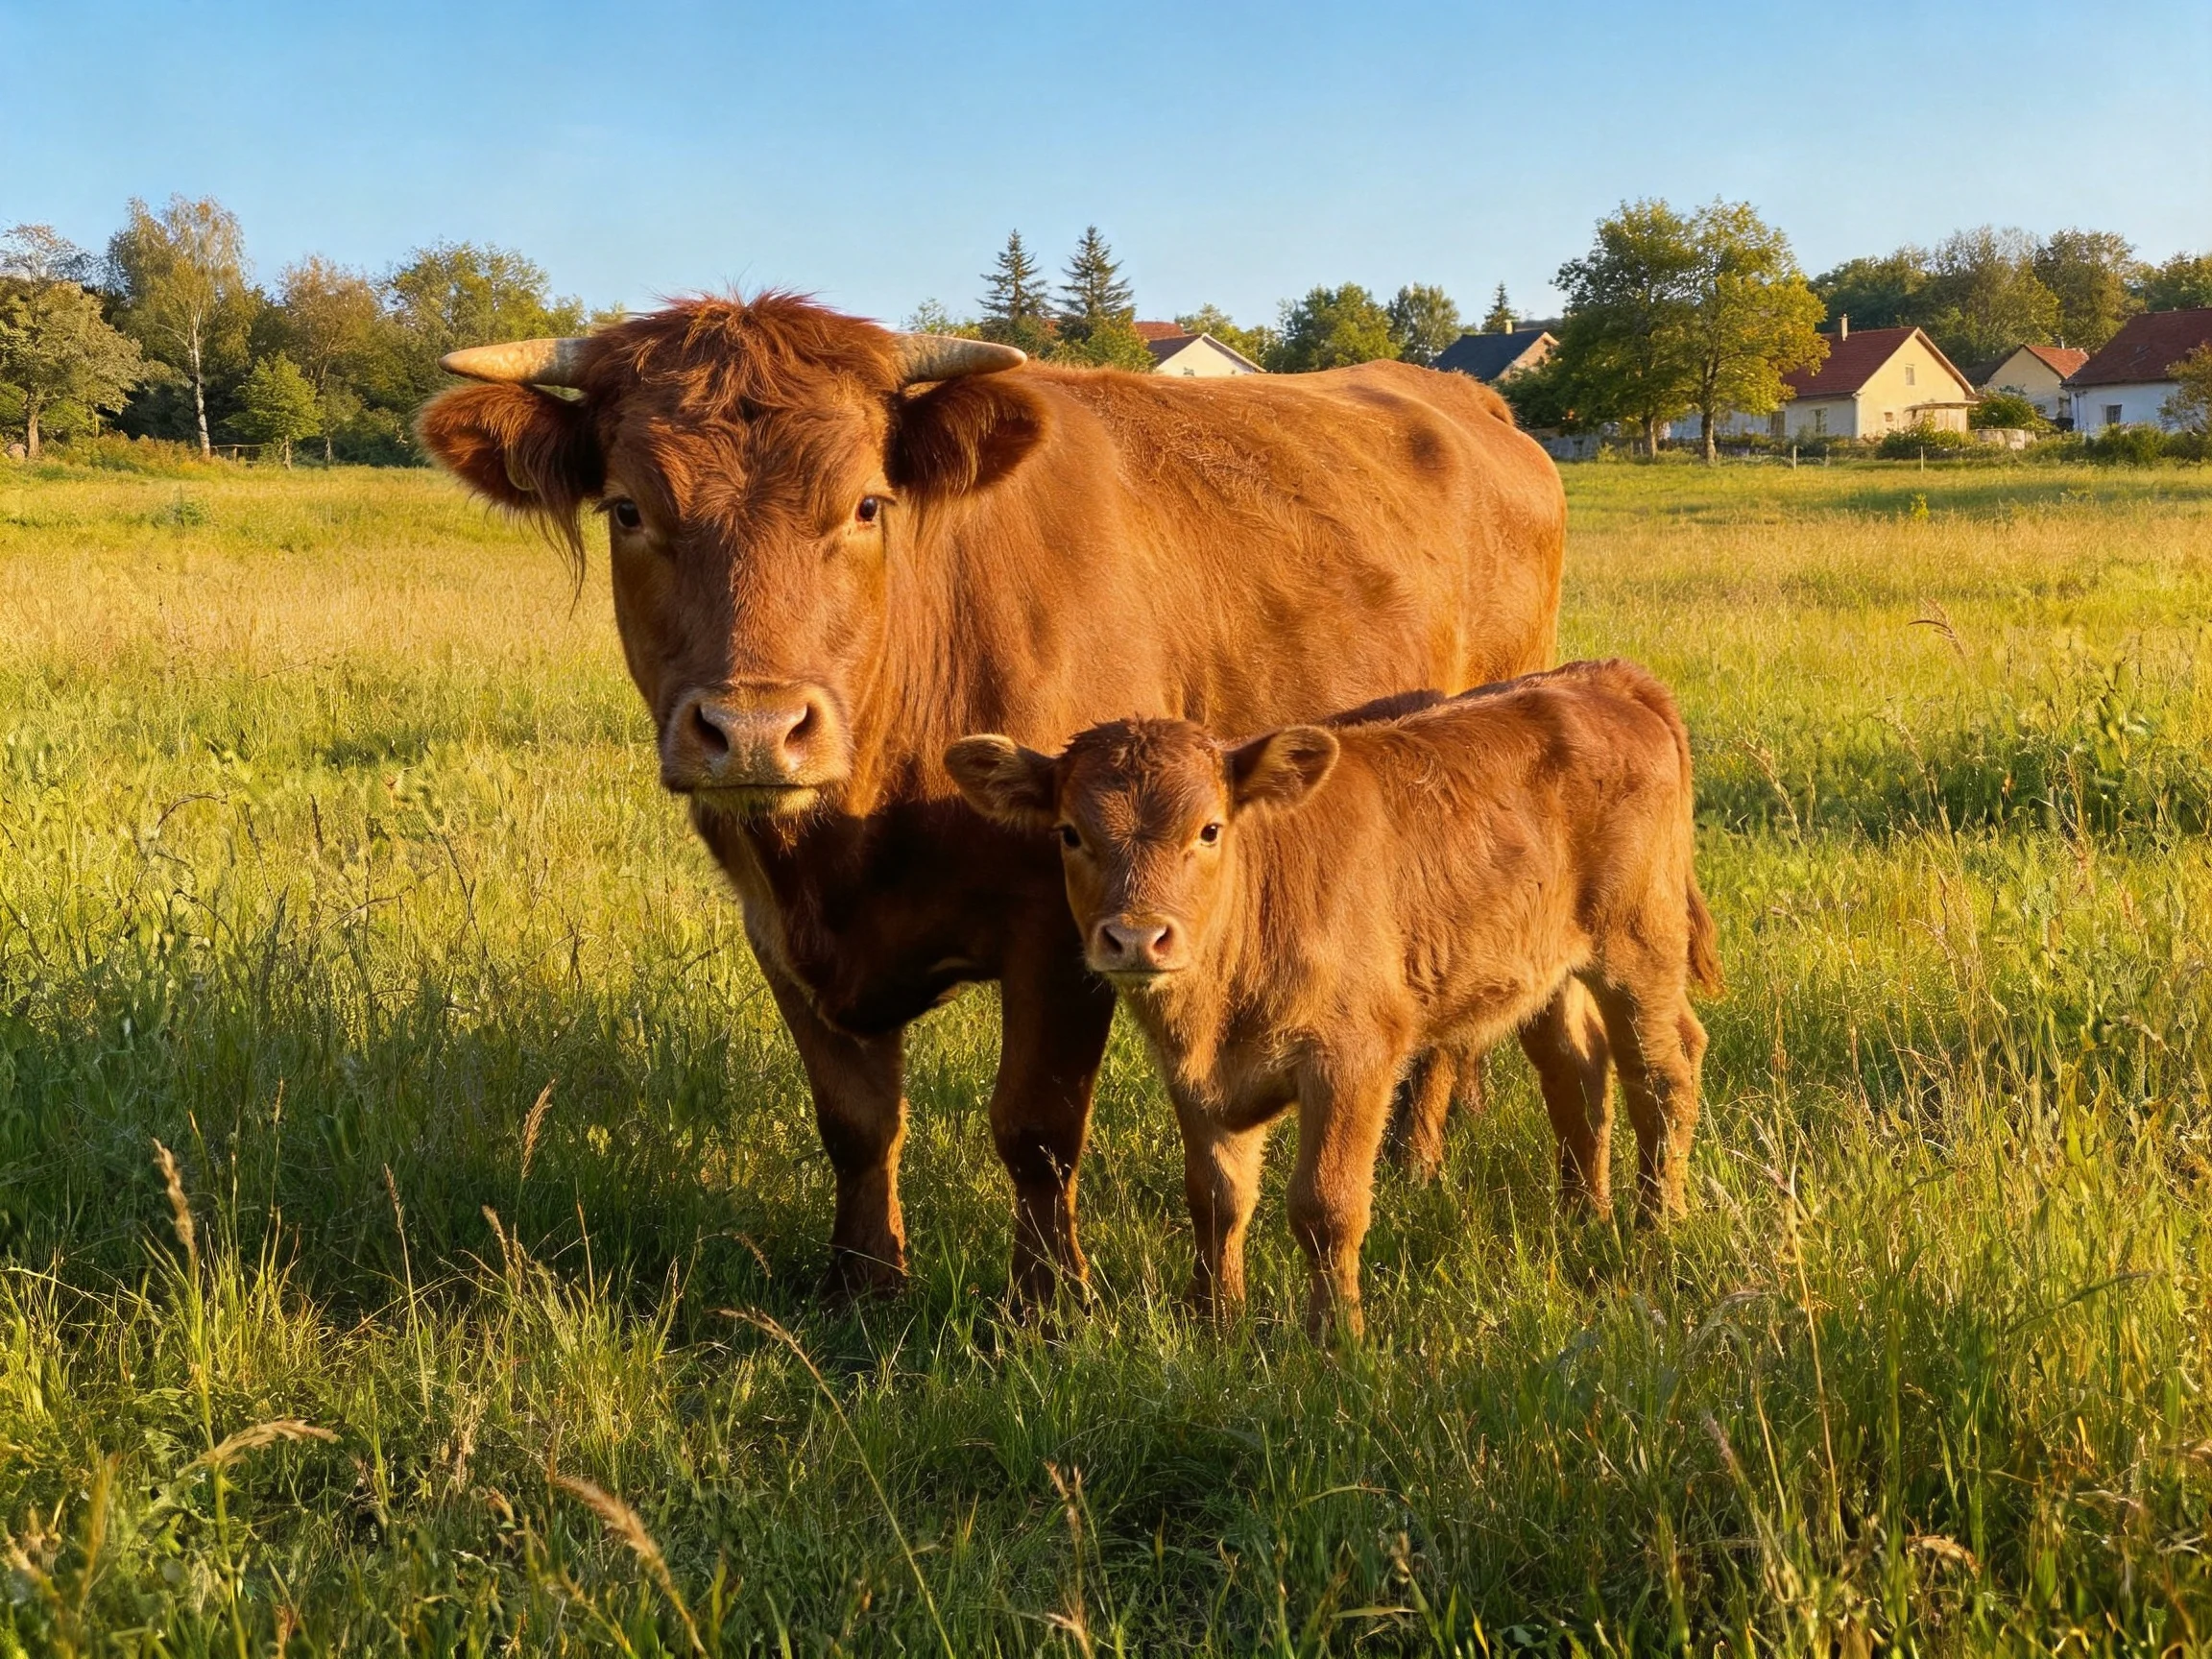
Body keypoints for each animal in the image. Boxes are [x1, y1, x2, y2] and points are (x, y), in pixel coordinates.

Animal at [415, 294, 1567, 1305]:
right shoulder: (774, 927)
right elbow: (856, 1124)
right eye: (628, 508)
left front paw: (1047, 1303)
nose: (753, 729)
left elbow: (1036, 1130)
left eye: (866, 504)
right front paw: (864, 1284)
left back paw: (1417, 1155)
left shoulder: (1065, 926)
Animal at [945, 659, 1722, 1338]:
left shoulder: (1353, 1058)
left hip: (1638, 947)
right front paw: (1215, 1322)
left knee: (1663, 1071)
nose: (1137, 937)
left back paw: (1658, 1225)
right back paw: (1583, 1216)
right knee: (1577, 1072)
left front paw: (1335, 1339)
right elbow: (1217, 1198)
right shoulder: (1194, 1077)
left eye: (1209, 829)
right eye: (1070, 833)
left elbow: (1326, 1206)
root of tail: (1600, 678)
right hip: (1546, 969)